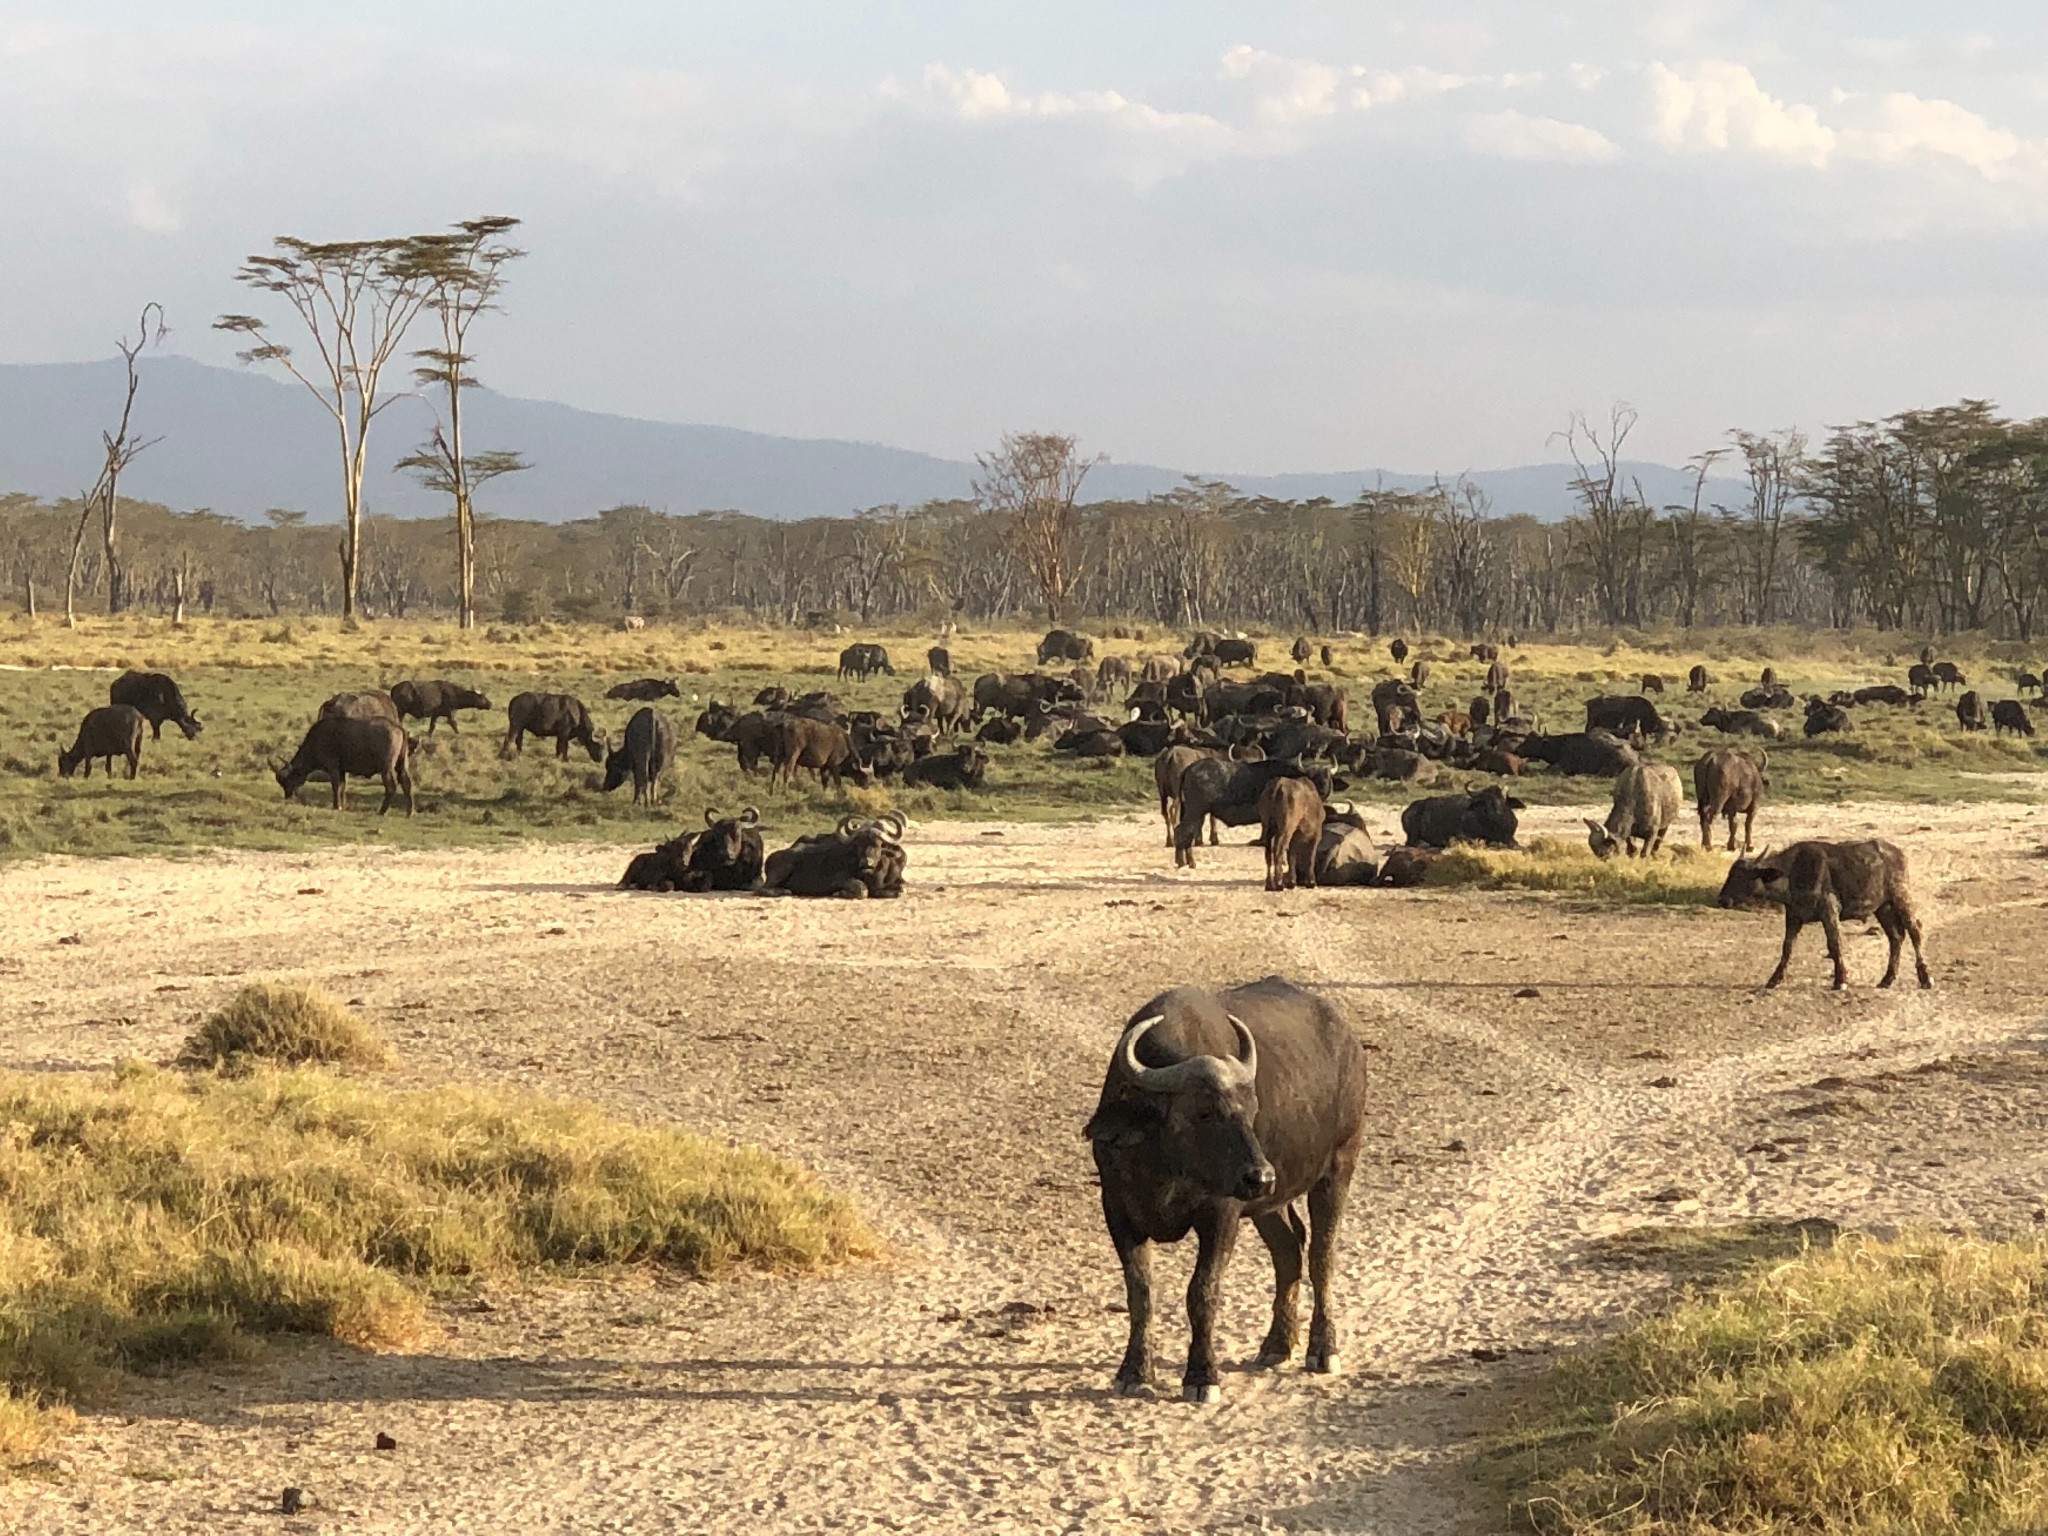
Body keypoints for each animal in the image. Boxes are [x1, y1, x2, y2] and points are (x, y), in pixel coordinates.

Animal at [274, 720, 413, 819]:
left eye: (288, 781)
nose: (288, 797)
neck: (316, 740)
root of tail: (398, 727)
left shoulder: (333, 767)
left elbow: (335, 786)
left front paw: (337, 806)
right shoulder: (341, 770)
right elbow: (341, 786)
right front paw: (341, 805)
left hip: (386, 769)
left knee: (391, 787)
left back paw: (382, 811)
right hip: (402, 765)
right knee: (406, 783)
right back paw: (409, 812)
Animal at [761, 811, 905, 897]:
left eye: (878, 844)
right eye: (858, 844)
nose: (866, 862)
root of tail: (770, 858)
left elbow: (901, 889)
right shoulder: (839, 879)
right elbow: (862, 890)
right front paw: (839, 893)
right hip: (784, 868)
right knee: (763, 889)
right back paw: (783, 891)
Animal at [1081, 987, 1368, 1409]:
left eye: (1251, 1111)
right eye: (1205, 1112)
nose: (1261, 1177)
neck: (1169, 1164)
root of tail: (1348, 1040)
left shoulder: (1221, 1214)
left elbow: (1202, 1291)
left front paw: (1202, 1376)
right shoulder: (1118, 1210)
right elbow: (1140, 1292)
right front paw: (1134, 1372)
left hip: (1338, 1166)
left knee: (1321, 1256)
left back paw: (1322, 1350)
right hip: (1270, 1205)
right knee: (1288, 1250)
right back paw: (1277, 1345)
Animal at [1712, 847, 1933, 991]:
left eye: (1743, 877)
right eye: (1730, 873)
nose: (1722, 899)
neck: (1792, 873)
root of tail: (1897, 853)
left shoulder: (1829, 910)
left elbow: (1834, 943)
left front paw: (1840, 980)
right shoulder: (1794, 916)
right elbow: (1787, 948)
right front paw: (1774, 979)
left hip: (1901, 897)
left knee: (1915, 931)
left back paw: (1925, 978)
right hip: (1883, 908)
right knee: (1896, 937)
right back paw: (1887, 979)